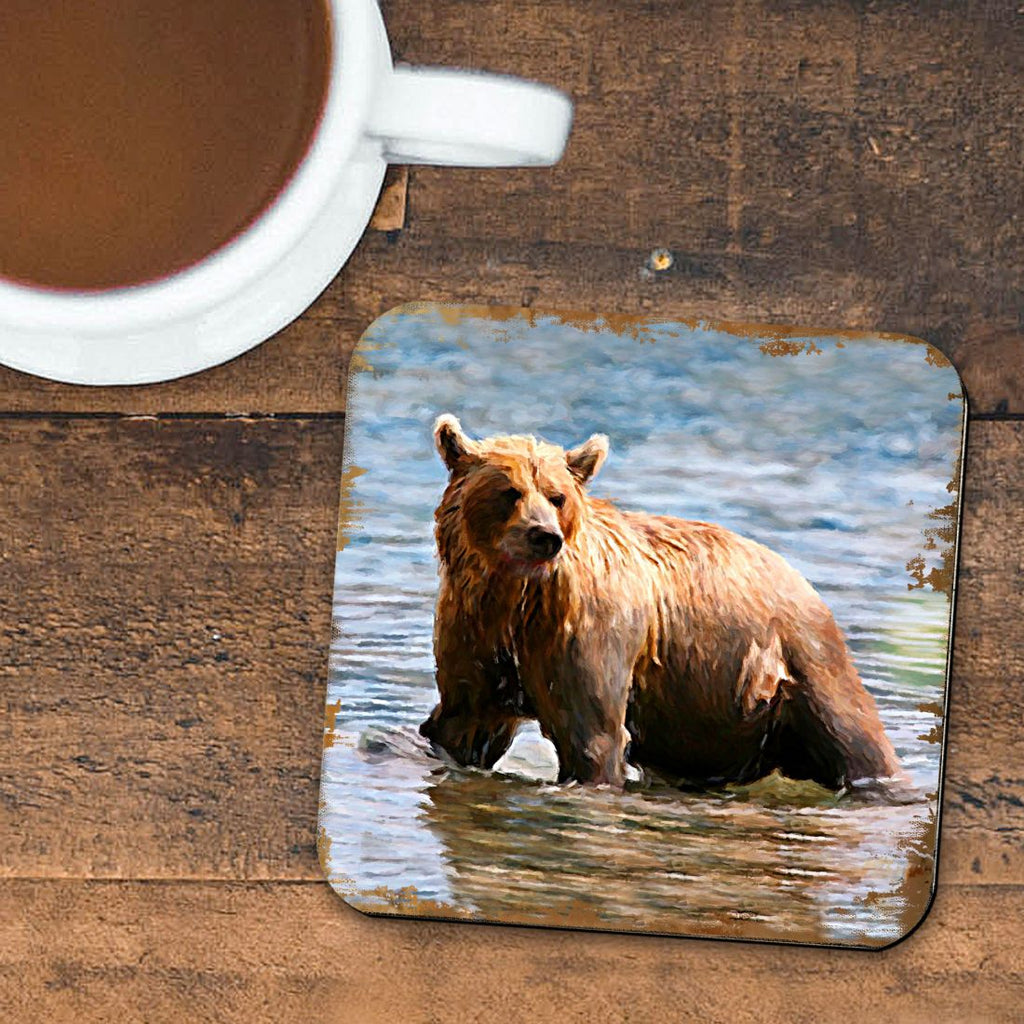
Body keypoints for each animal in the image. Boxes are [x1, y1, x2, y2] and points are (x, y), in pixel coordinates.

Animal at [420, 414, 901, 791]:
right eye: (509, 492)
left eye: (557, 497)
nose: (545, 537)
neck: (516, 595)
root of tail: (798, 575)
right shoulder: (476, 627)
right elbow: (464, 719)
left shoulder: (584, 631)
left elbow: (591, 735)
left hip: (798, 659)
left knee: (854, 737)